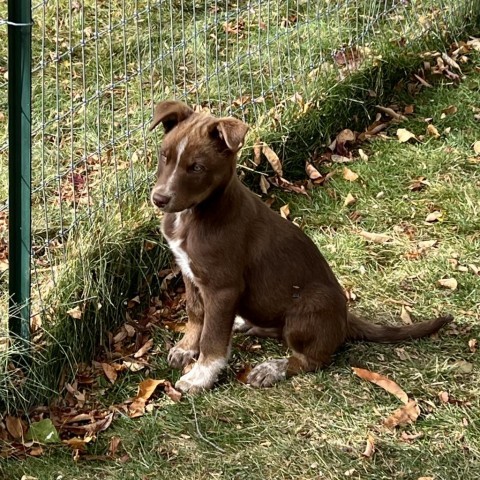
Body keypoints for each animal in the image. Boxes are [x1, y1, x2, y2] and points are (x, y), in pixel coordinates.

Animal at [150, 101, 454, 394]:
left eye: (197, 167)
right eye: (164, 156)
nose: (158, 199)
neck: (195, 215)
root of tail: (345, 318)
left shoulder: (222, 287)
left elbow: (213, 338)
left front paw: (200, 376)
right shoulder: (189, 272)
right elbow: (196, 312)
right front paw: (187, 347)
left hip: (307, 307)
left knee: (312, 359)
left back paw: (272, 368)